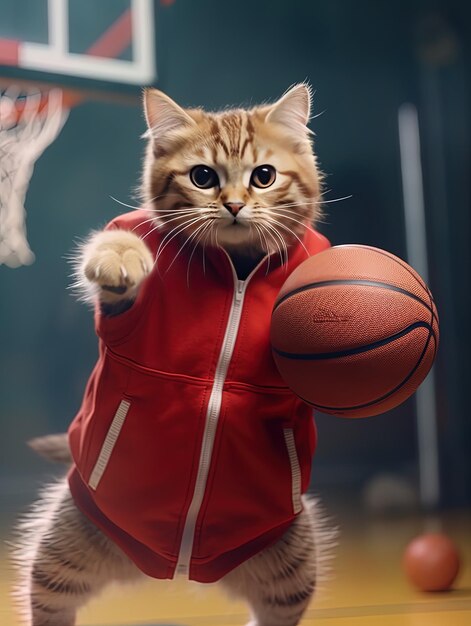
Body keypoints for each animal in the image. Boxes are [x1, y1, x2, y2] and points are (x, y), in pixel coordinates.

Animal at [11, 84, 336, 624]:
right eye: (203, 177)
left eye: (263, 176)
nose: (233, 205)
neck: (237, 269)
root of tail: (177, 570)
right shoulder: (122, 310)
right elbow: (118, 251)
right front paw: (119, 255)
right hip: (64, 547)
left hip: (292, 563)